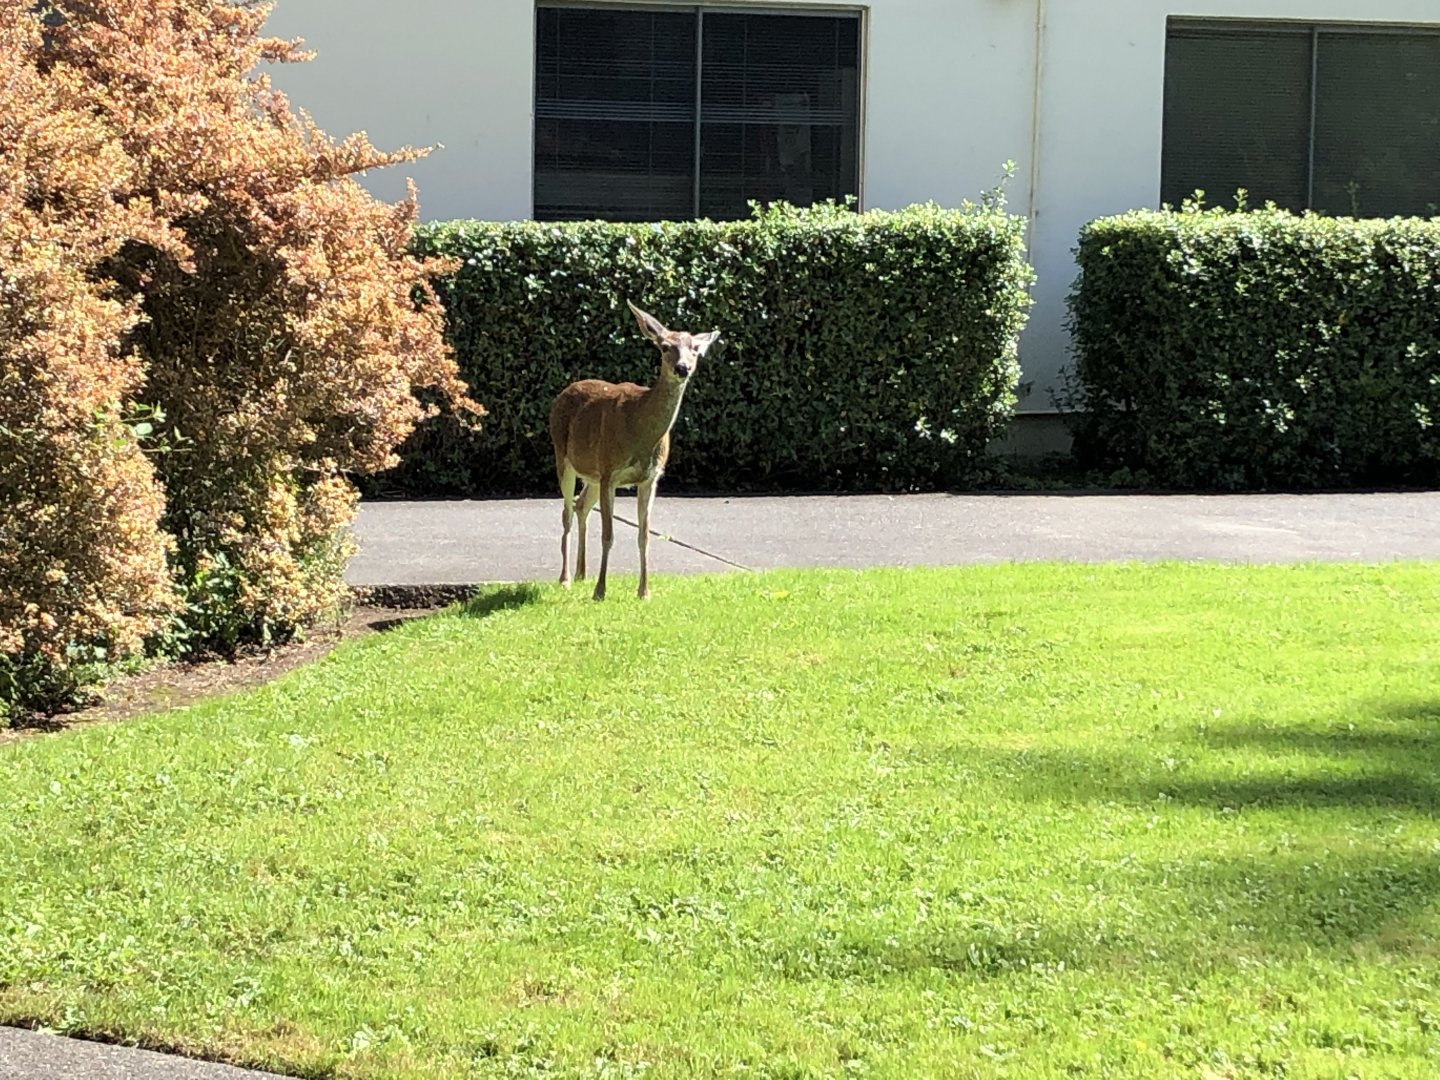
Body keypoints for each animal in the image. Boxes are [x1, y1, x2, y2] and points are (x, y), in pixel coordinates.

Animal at [549, 300, 720, 601]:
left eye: (696, 349)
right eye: (665, 347)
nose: (683, 368)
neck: (640, 432)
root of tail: (564, 392)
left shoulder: (650, 478)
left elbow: (644, 535)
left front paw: (644, 591)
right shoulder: (610, 472)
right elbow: (608, 535)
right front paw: (600, 591)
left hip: (593, 473)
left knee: (581, 506)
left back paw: (582, 573)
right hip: (564, 456)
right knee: (566, 513)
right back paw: (566, 578)